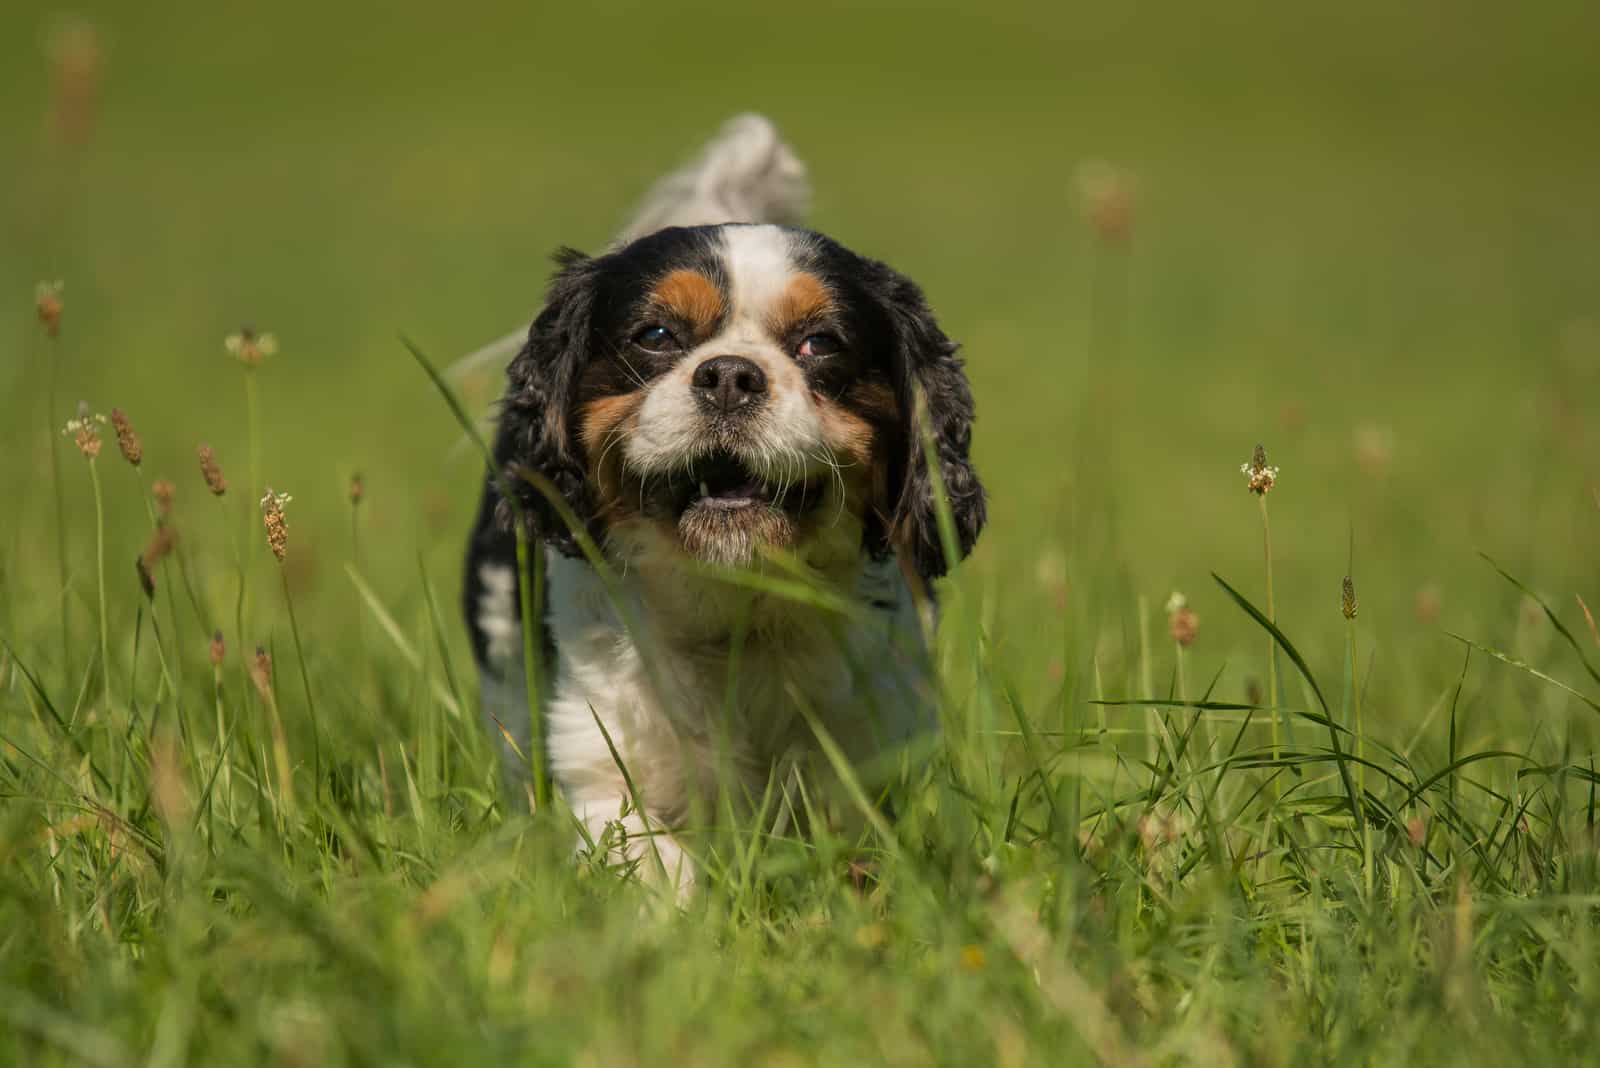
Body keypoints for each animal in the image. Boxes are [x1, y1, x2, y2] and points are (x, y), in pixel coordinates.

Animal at [464, 112, 979, 888]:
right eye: (656, 335)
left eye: (819, 343)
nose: (730, 375)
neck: (735, 607)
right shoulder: (597, 763)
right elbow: (651, 859)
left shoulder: (873, 751)